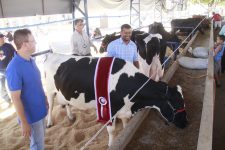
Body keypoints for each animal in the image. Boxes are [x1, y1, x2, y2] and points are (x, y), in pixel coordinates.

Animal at [44, 52, 188, 145]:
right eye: (177, 103)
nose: (185, 123)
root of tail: (52, 54)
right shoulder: (110, 110)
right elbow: (112, 131)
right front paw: (111, 144)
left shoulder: (124, 110)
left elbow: (126, 126)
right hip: (49, 91)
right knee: (50, 106)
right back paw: (49, 122)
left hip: (64, 91)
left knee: (67, 103)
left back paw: (70, 117)